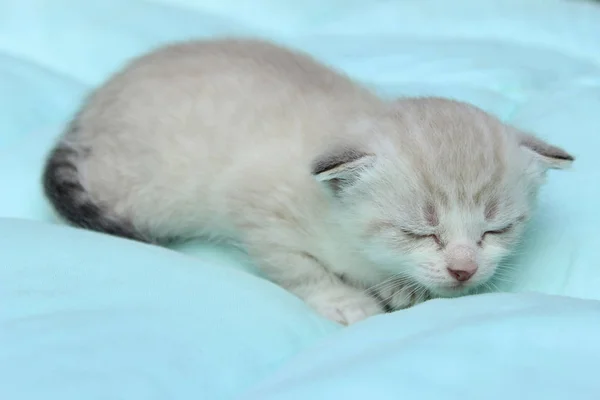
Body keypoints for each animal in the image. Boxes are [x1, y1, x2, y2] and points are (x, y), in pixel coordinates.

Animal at [39, 37, 576, 324]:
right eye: (420, 232)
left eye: (495, 229)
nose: (464, 270)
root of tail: (90, 110)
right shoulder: (257, 209)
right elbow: (300, 270)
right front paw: (349, 301)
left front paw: (405, 290)